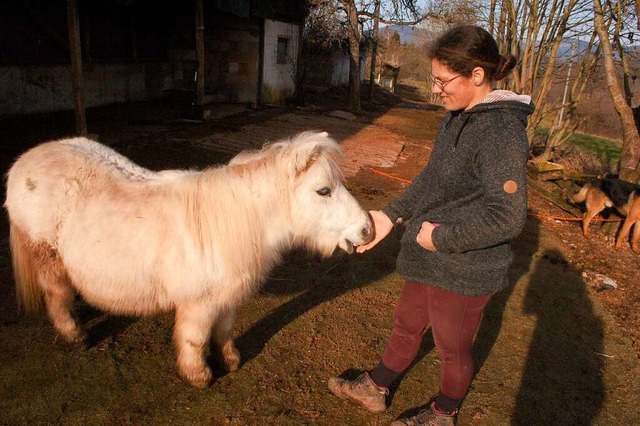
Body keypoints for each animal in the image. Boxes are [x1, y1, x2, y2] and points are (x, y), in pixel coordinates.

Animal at [3, 131, 370, 388]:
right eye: (323, 191)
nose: (367, 229)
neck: (231, 221)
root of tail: (25, 162)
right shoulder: (199, 304)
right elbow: (195, 338)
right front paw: (199, 376)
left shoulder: (228, 297)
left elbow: (224, 330)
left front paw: (230, 361)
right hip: (47, 257)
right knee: (57, 295)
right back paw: (74, 335)